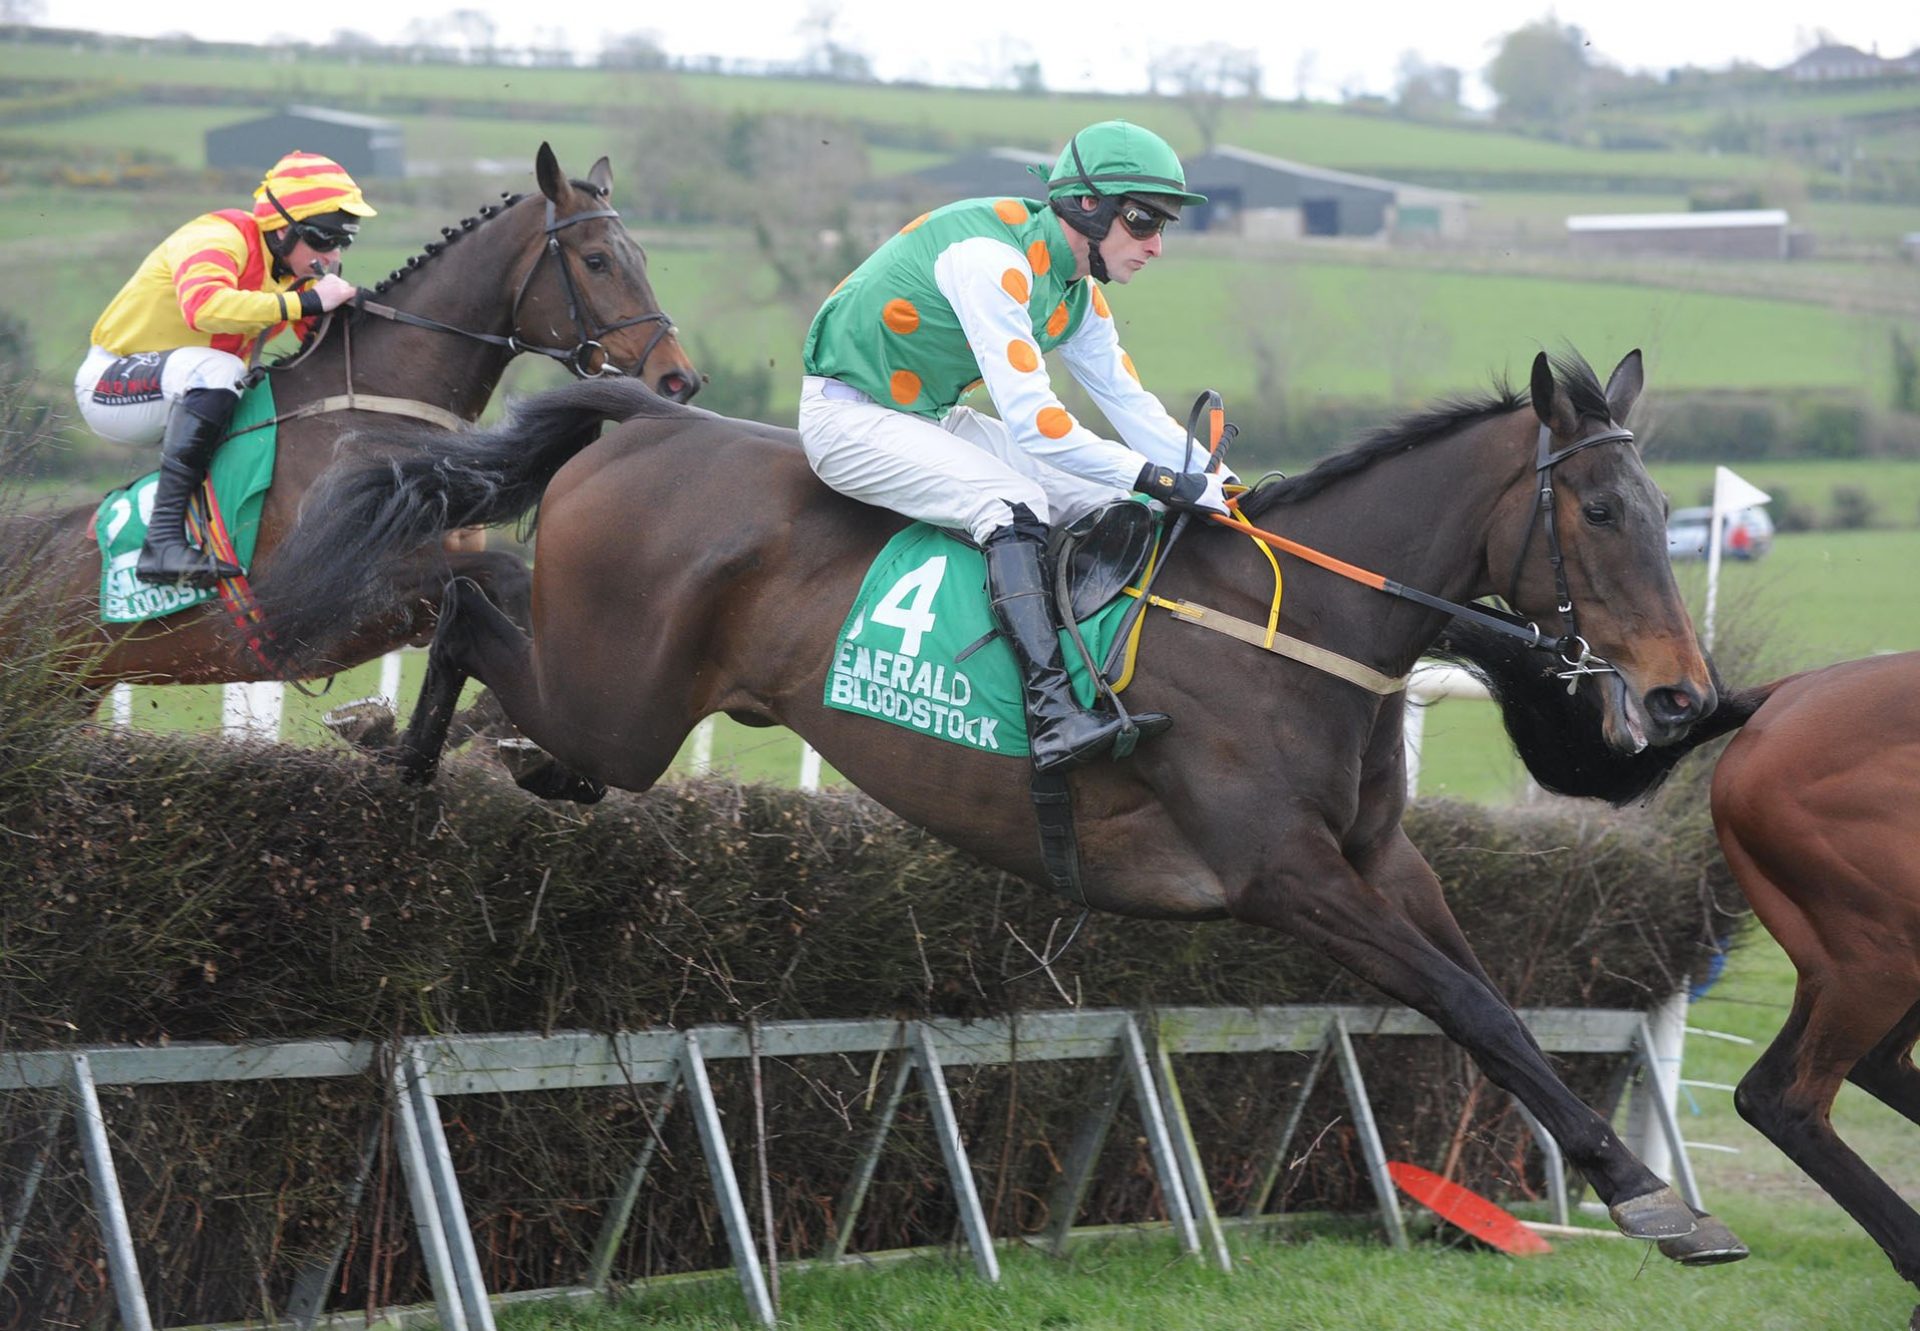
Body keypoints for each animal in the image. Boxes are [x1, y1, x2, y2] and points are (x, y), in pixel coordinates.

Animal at [5, 143, 698, 718]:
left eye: (641, 257)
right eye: (597, 260)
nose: (676, 379)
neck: (376, 408)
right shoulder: (346, 598)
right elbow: (508, 574)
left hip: (67, 695)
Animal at [247, 345, 1751, 1259]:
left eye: (1661, 504)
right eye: (1602, 511)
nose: (1685, 695)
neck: (1300, 630)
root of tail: (654, 414)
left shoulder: (1384, 862)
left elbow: (1492, 993)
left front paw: (1632, 1179)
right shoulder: (1284, 876)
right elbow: (1466, 1001)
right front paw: (1648, 1196)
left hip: (622, 701)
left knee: (509, 648)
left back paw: (451, 748)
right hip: (620, 694)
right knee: (460, 598)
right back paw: (401, 750)